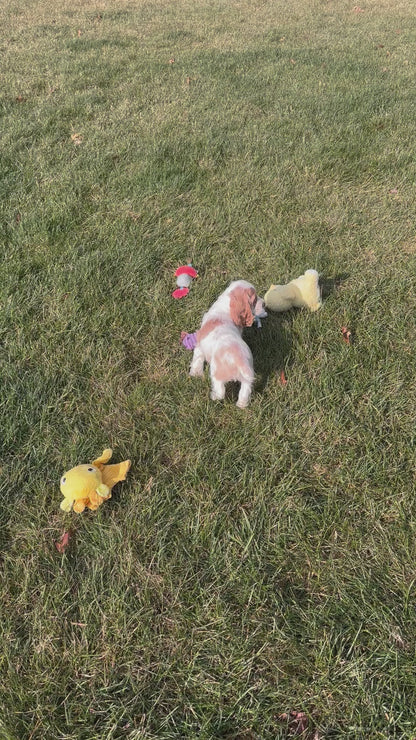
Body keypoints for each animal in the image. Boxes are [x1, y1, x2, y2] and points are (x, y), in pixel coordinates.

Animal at [189, 280, 264, 408]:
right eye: (254, 300)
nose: (264, 303)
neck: (225, 307)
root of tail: (238, 360)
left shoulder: (199, 346)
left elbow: (197, 359)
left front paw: (195, 374)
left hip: (216, 373)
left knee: (220, 392)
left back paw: (213, 396)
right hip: (247, 378)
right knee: (244, 393)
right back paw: (241, 405)